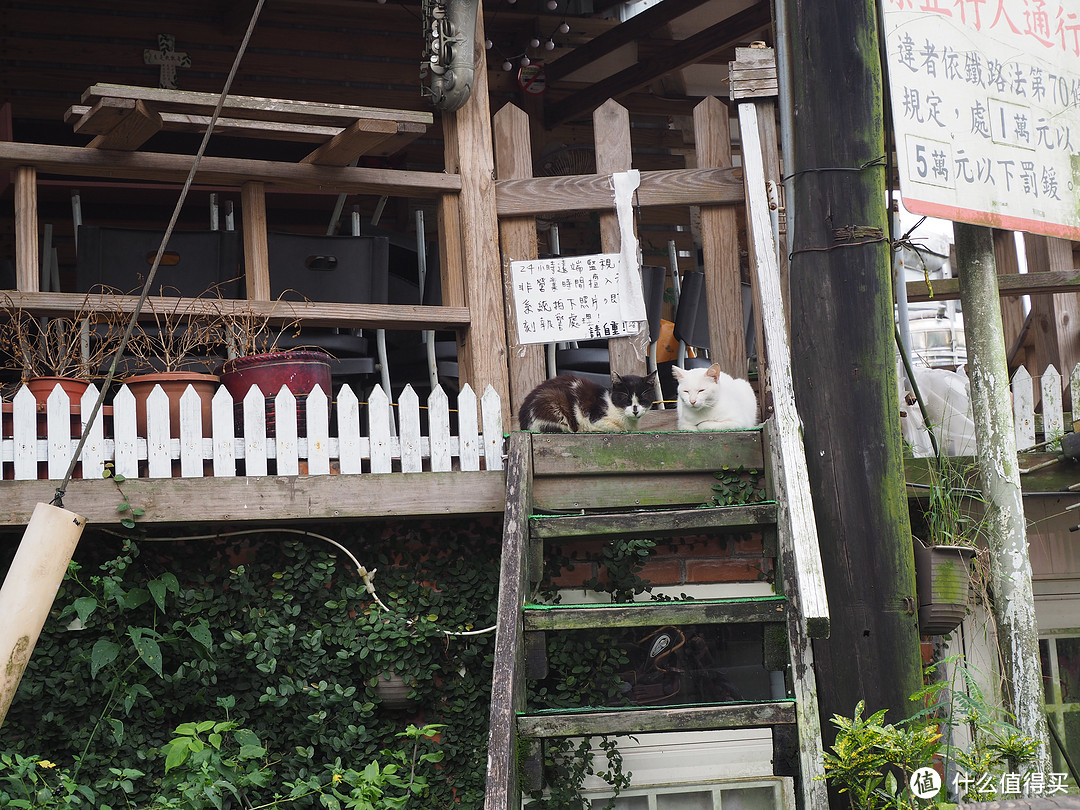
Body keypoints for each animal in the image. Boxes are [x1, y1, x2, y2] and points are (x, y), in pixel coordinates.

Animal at [516, 373, 656, 438]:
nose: (635, 410)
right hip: (553, 399)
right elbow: (617, 428)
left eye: (642, 400)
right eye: (626, 400)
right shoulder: (595, 417)